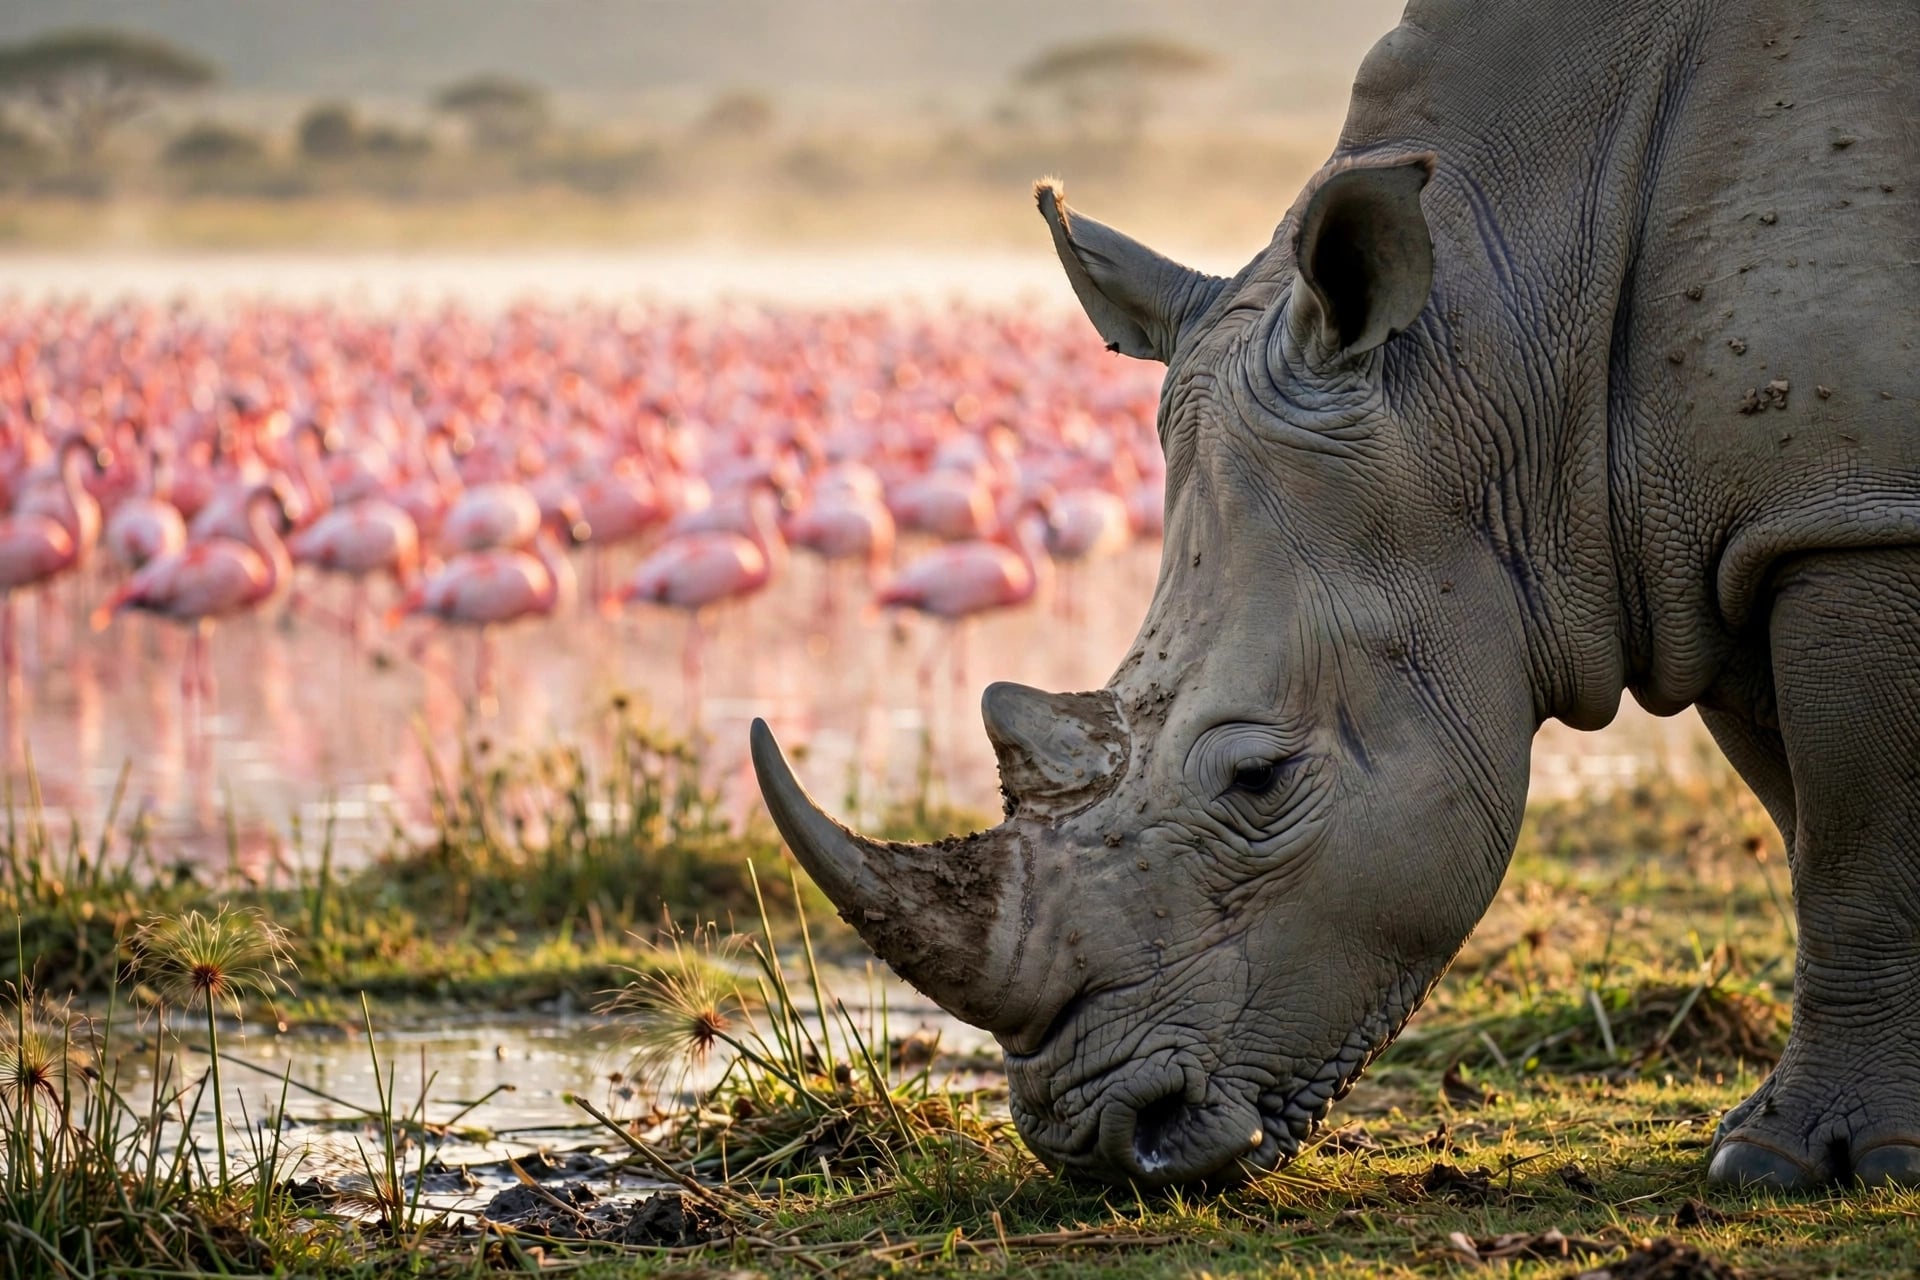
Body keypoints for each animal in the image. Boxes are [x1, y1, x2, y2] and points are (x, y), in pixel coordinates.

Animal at [752, 0, 1920, 1189]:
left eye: (1260, 778)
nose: (1097, 1144)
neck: (1503, 339)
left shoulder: (1849, 516)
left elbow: (1852, 848)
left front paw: (1798, 1162)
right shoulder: (1727, 540)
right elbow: (1810, 824)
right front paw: (1799, 1145)